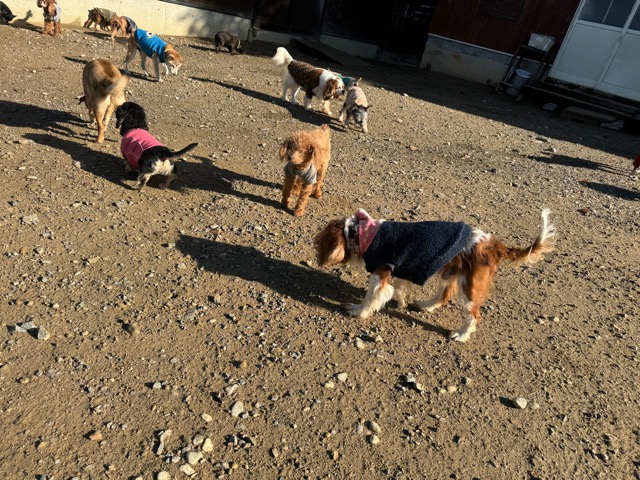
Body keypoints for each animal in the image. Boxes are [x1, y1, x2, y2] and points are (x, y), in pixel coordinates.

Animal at [314, 208, 556, 342]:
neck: (361, 233)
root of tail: (496, 246)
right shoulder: (400, 270)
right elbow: (400, 288)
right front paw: (401, 302)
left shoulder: (380, 273)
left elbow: (370, 298)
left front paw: (358, 310)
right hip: (449, 272)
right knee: (443, 296)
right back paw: (426, 305)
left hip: (469, 286)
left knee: (474, 315)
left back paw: (461, 335)